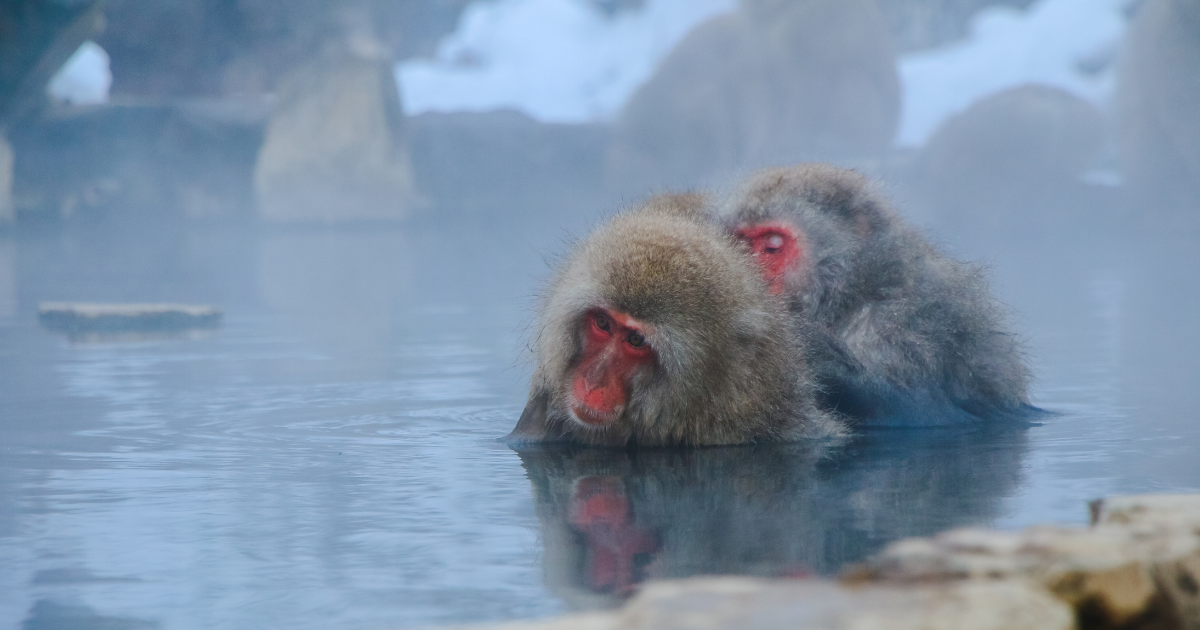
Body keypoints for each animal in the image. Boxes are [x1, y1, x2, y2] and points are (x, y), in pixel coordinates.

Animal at [721, 163, 1038, 426]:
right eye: (742, 244)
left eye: (772, 246)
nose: (750, 276)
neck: (854, 292)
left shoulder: (908, 324)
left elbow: (924, 412)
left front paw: (815, 351)